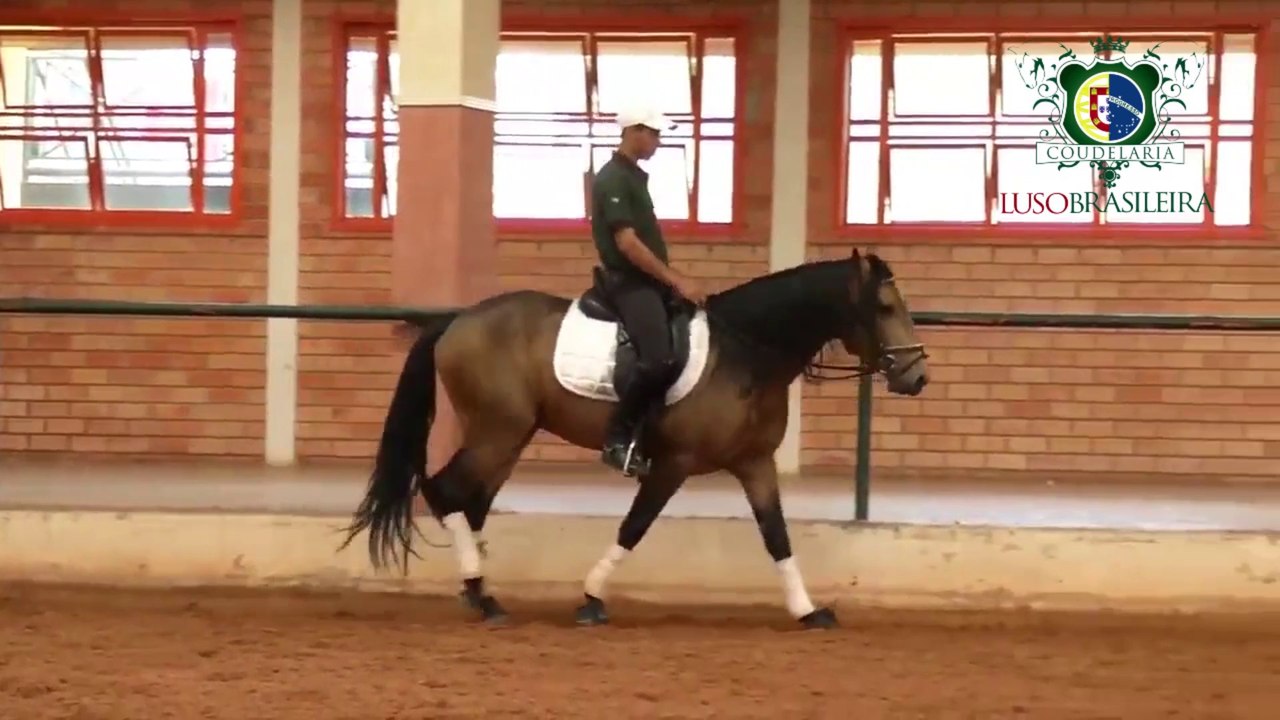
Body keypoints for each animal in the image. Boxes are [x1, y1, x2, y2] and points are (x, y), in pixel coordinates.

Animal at [339, 248, 929, 629]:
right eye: (884, 308)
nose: (916, 377)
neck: (747, 351)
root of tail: (457, 321)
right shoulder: (673, 464)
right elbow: (635, 526)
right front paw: (591, 599)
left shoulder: (755, 462)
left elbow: (777, 536)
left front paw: (808, 611)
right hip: (497, 432)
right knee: (443, 492)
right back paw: (482, 600)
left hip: (509, 436)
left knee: (471, 501)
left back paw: (480, 592)